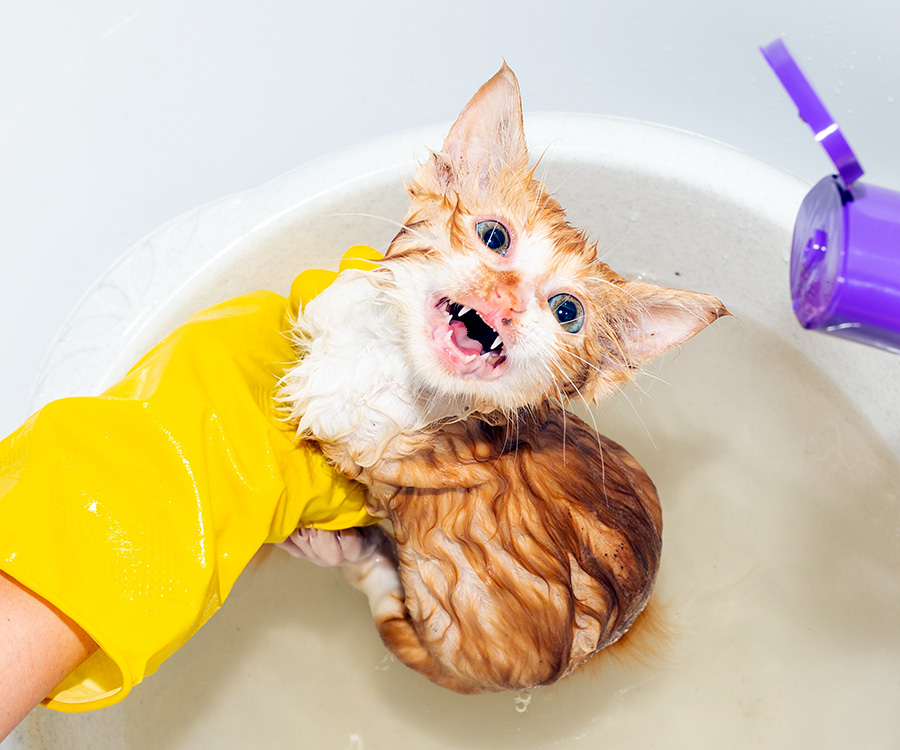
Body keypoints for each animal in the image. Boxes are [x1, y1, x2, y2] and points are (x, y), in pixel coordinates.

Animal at [278, 67, 728, 696]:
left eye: (567, 312)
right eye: (494, 236)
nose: (507, 298)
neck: (397, 368)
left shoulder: (372, 437)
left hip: (454, 652)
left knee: (388, 603)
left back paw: (340, 551)